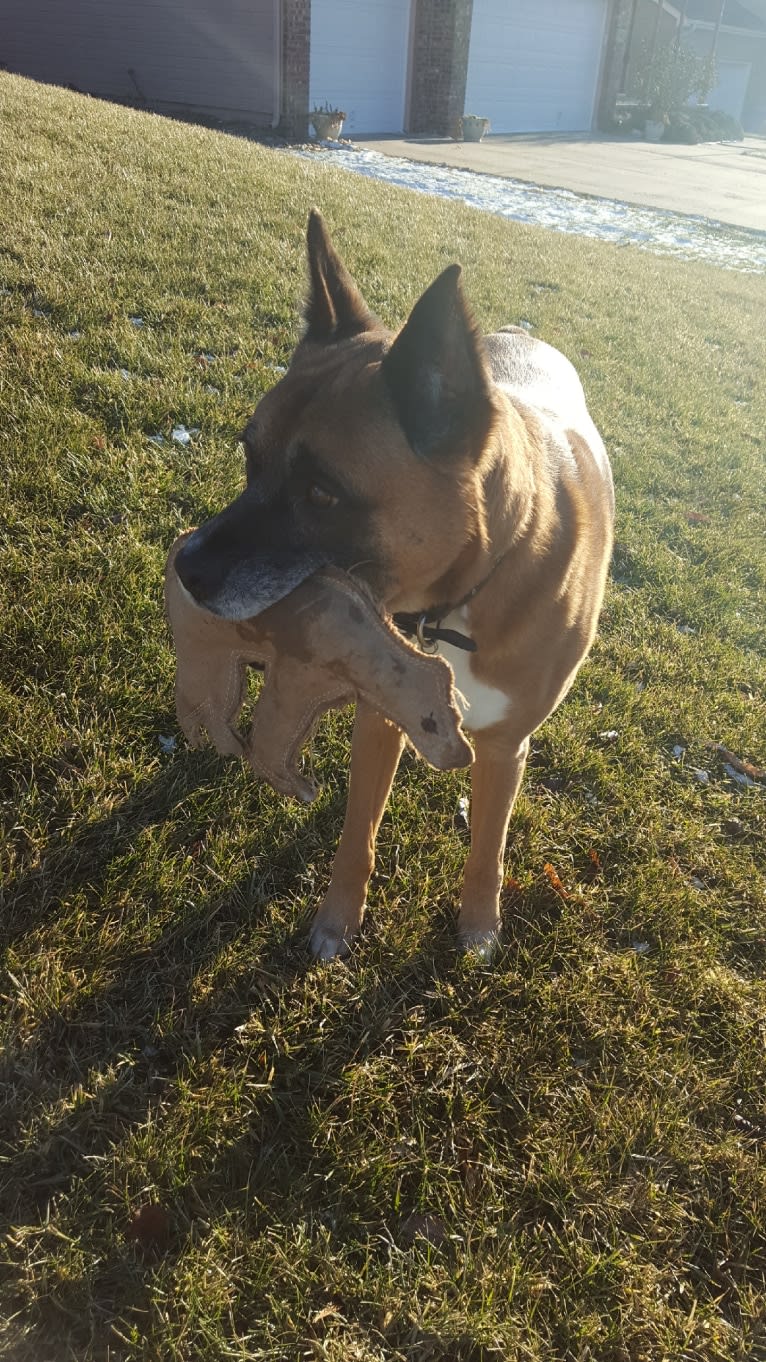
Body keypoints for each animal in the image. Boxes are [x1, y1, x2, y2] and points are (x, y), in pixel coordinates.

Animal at [175, 209, 610, 958]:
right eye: (250, 457)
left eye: (322, 493)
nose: (185, 567)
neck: (460, 601)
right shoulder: (382, 716)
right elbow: (358, 834)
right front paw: (338, 921)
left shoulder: (504, 750)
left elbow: (487, 849)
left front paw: (479, 928)